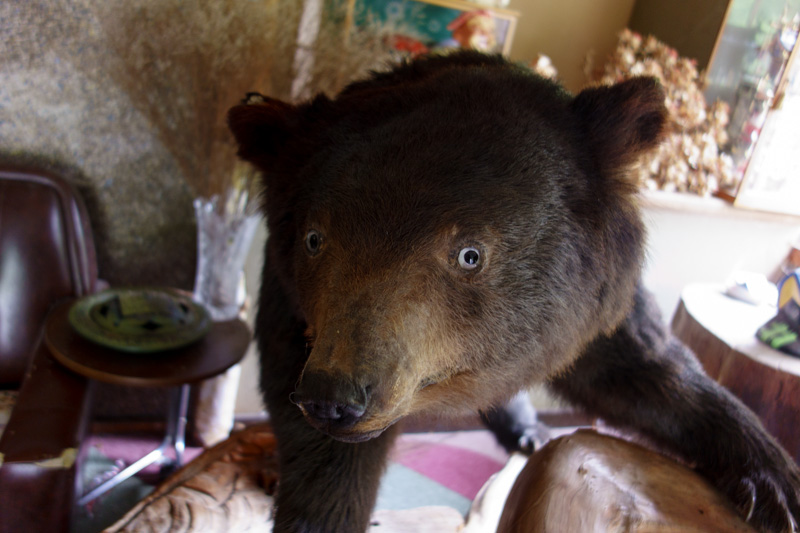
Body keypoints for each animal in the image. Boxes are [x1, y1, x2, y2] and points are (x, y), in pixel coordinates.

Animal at [227, 51, 800, 533]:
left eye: (469, 254)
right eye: (314, 239)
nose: (334, 397)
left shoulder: (592, 312)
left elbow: (653, 371)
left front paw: (774, 484)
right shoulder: (294, 315)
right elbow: (323, 461)